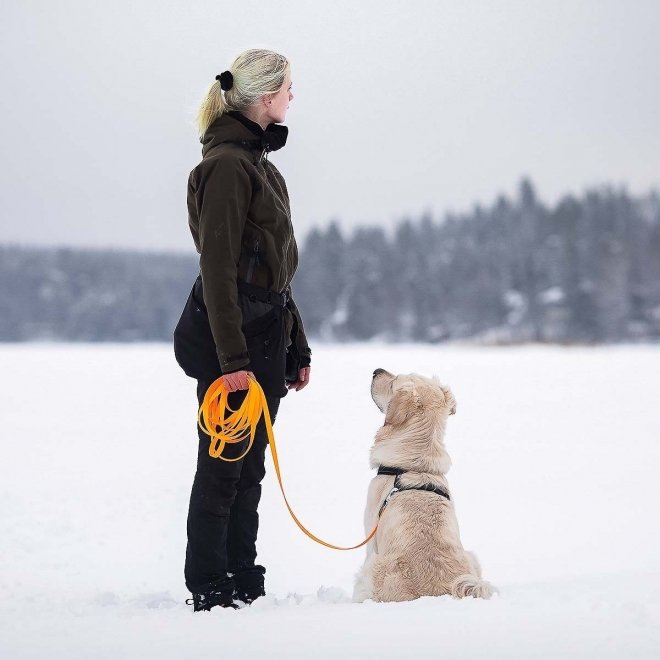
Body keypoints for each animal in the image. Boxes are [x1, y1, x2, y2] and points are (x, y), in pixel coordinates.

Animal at [350, 366, 496, 604]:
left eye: (394, 382)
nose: (376, 370)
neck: (414, 464)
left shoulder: (371, 527)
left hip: (371, 568)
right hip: (472, 557)